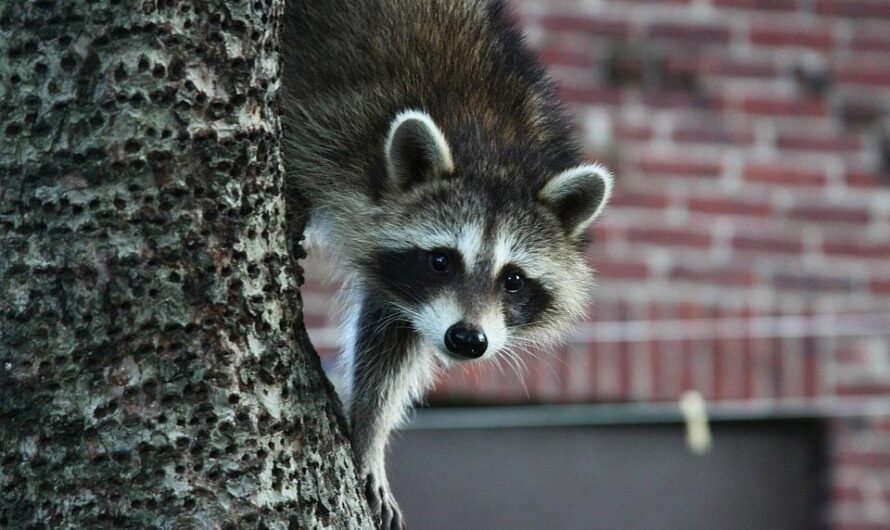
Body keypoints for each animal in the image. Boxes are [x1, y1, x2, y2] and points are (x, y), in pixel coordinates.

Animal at [282, 2, 612, 524]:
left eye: (513, 280)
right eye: (441, 260)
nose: (467, 340)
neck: (494, 149)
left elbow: (392, 338)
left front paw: (368, 430)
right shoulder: (331, 125)